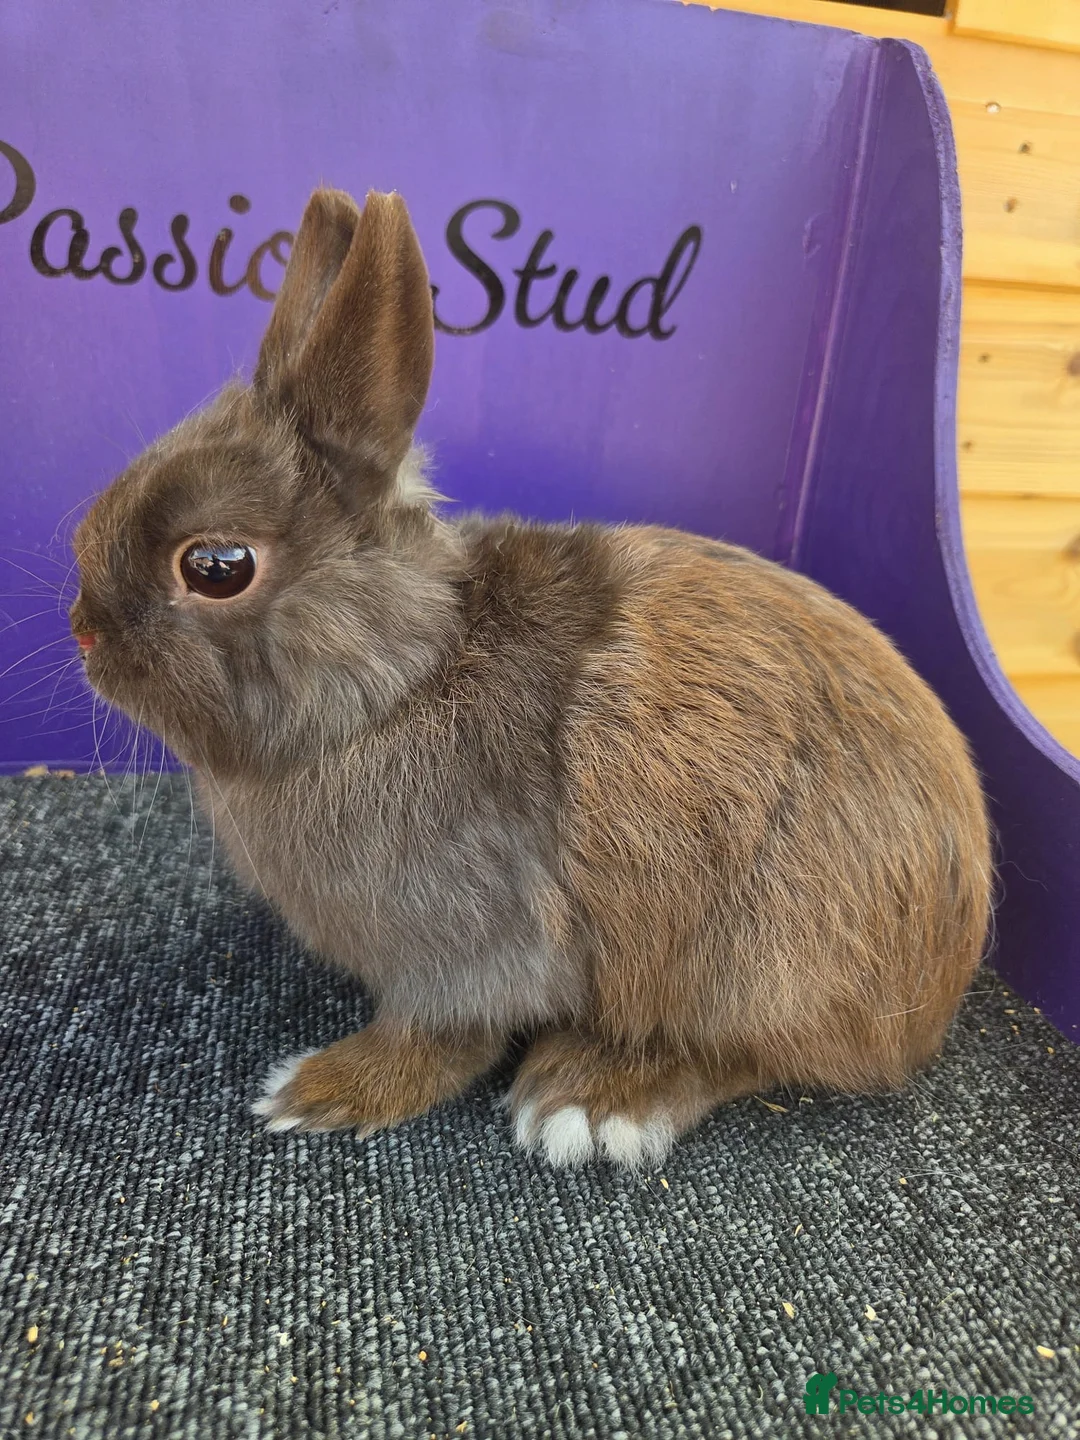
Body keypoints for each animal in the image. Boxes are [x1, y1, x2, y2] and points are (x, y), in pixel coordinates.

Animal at [70, 187, 992, 1170]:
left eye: (216, 568)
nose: (83, 631)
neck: (400, 679)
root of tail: (944, 972)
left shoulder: (466, 947)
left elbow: (439, 1038)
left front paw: (319, 1091)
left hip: (758, 959)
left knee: (742, 1053)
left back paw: (593, 1098)